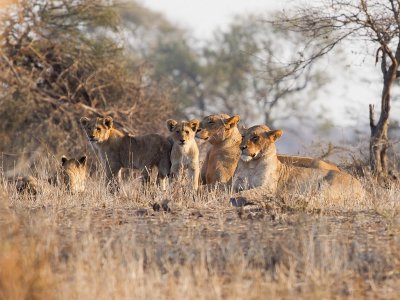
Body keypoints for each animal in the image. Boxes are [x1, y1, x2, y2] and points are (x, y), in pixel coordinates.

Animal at [231, 125, 366, 203]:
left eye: (255, 138)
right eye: (243, 136)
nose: (241, 147)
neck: (250, 165)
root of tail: (361, 187)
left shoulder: (268, 188)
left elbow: (244, 193)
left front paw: (235, 198)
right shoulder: (235, 185)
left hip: (328, 185)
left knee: (322, 199)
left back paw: (294, 198)